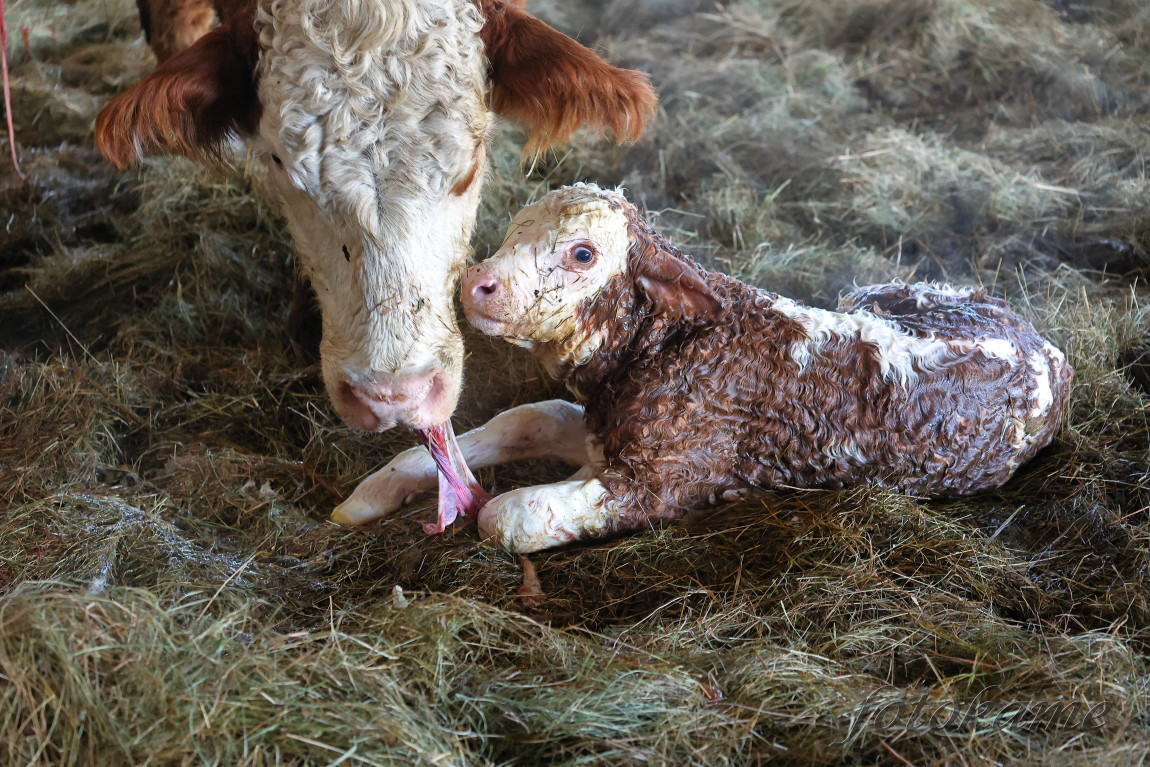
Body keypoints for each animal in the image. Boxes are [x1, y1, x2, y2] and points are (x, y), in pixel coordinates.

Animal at [333, 185, 1067, 551]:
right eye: (515, 229)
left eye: (582, 253)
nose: (476, 282)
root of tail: (1043, 345)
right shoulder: (608, 429)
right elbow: (521, 419)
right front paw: (366, 496)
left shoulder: (668, 476)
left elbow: (511, 516)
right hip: (879, 292)